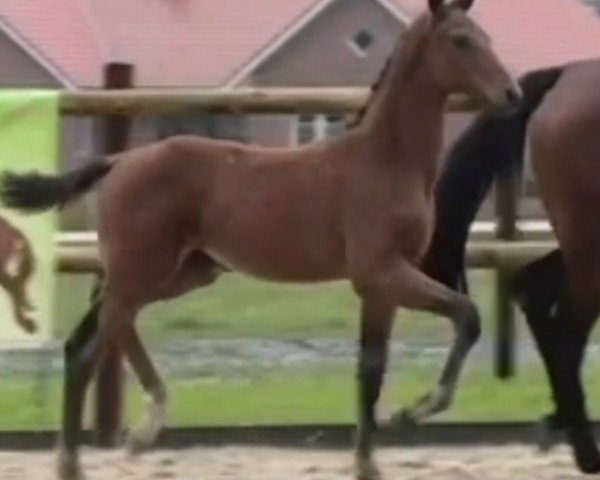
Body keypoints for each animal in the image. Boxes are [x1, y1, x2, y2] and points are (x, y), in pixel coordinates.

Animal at [0, 1, 520, 478]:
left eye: (487, 36)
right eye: (460, 40)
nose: (511, 94)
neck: (386, 161)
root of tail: (120, 161)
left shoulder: (382, 286)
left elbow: (372, 367)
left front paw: (369, 460)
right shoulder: (382, 272)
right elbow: (467, 316)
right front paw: (413, 411)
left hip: (182, 272)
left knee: (91, 338)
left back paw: (100, 447)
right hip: (143, 270)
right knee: (100, 340)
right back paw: (126, 435)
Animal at [420, 58, 600, 474]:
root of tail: (567, 75)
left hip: (579, 244)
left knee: (533, 289)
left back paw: (561, 424)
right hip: (590, 244)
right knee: (566, 332)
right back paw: (585, 451)